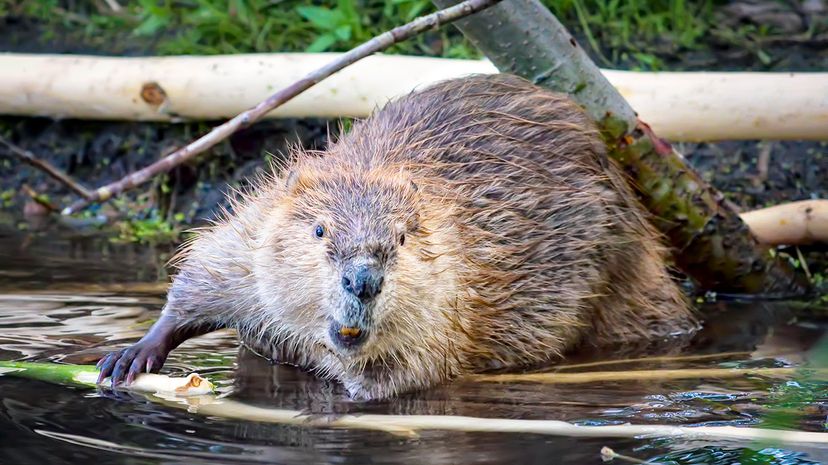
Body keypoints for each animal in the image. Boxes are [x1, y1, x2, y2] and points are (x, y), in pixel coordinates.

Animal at [98, 72, 700, 398]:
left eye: (404, 239)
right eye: (319, 229)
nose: (363, 281)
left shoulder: (453, 301)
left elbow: (407, 375)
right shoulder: (253, 232)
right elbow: (203, 276)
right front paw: (130, 357)